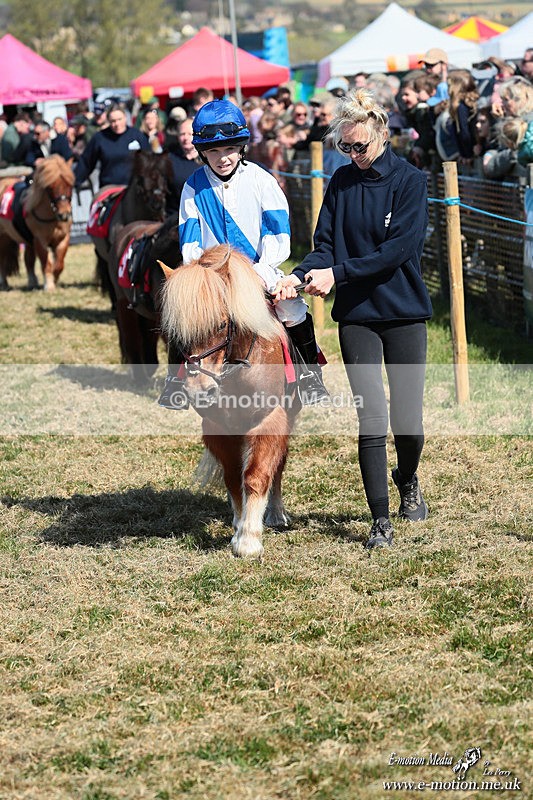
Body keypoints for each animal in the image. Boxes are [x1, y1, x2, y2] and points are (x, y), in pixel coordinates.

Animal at [0, 155, 74, 291]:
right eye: (50, 187)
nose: (64, 215)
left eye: (70, 185)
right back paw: (3, 283)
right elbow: (46, 263)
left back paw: (32, 281)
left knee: (28, 260)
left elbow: (59, 264)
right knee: (2, 260)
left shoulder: (63, 239)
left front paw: (55, 279)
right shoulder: (40, 241)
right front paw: (49, 285)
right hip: (3, 238)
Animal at [159, 245, 301, 559]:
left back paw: (275, 513)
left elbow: (256, 475)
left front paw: (248, 539)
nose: (200, 390)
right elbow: (234, 479)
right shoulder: (218, 428)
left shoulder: (268, 421)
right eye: (176, 334)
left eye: (223, 323)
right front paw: (239, 526)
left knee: (278, 464)